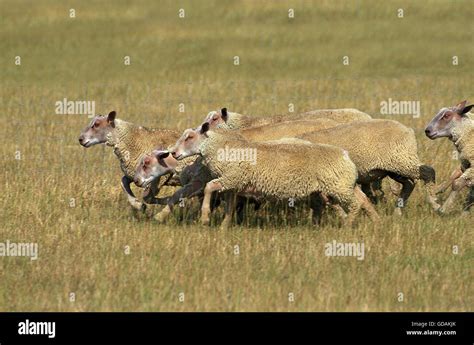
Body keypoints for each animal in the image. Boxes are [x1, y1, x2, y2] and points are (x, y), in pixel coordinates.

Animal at [168, 123, 380, 228]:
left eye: (189, 137)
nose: (174, 153)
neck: (222, 147)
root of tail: (345, 155)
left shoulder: (232, 177)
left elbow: (208, 187)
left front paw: (204, 218)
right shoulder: (233, 184)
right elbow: (229, 207)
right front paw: (224, 227)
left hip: (338, 186)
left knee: (355, 204)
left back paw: (349, 226)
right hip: (343, 184)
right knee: (362, 199)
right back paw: (376, 222)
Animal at [296, 119, 440, 214]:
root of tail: (408, 130)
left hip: (401, 160)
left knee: (428, 172)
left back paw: (434, 203)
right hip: (393, 167)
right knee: (409, 183)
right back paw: (398, 210)